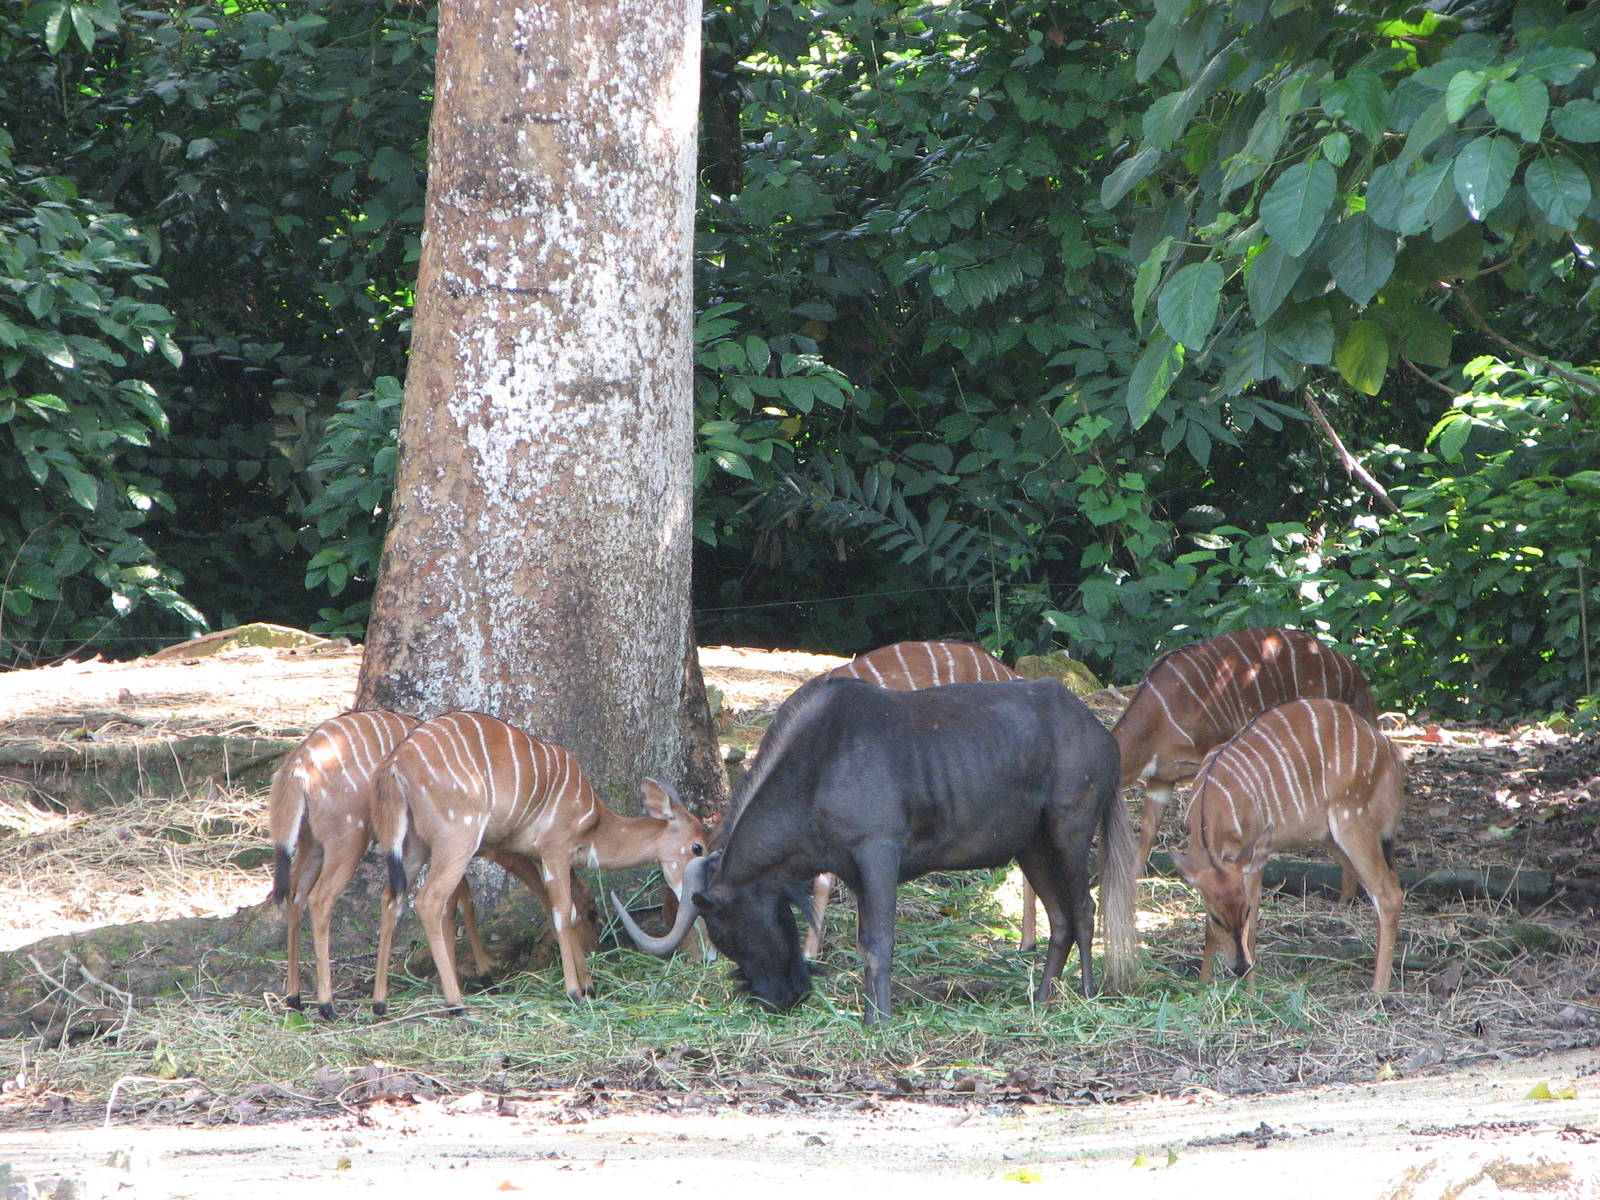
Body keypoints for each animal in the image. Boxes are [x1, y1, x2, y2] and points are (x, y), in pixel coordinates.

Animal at [268, 710, 598, 1019]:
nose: (593, 952)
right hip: (347, 840)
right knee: (320, 898)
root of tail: (297, 765)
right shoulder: (460, 845)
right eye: (592, 912)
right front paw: (481, 976)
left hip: (312, 843)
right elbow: (462, 902)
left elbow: (456, 902)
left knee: (294, 895)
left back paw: (295, 997)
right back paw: (327, 1005)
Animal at [369, 711, 708, 1012]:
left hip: (414, 845)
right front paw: (575, 992)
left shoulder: (537, 857)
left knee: (392, 898)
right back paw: (456, 1003)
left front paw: (587, 984)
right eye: (697, 847)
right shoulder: (554, 848)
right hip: (458, 838)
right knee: (429, 900)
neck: (594, 823)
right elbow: (563, 911)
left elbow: (555, 907)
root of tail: (396, 766)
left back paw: (380, 1003)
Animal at [1170, 698, 1406, 991]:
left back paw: (1378, 991)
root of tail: (1388, 748)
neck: (1213, 801)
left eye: (1245, 910)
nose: (1240, 967)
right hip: (1332, 838)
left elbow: (1253, 930)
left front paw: (1251, 993)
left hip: (1353, 820)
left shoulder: (1254, 854)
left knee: (1389, 894)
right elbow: (1207, 931)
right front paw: (1201, 987)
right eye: (1216, 916)